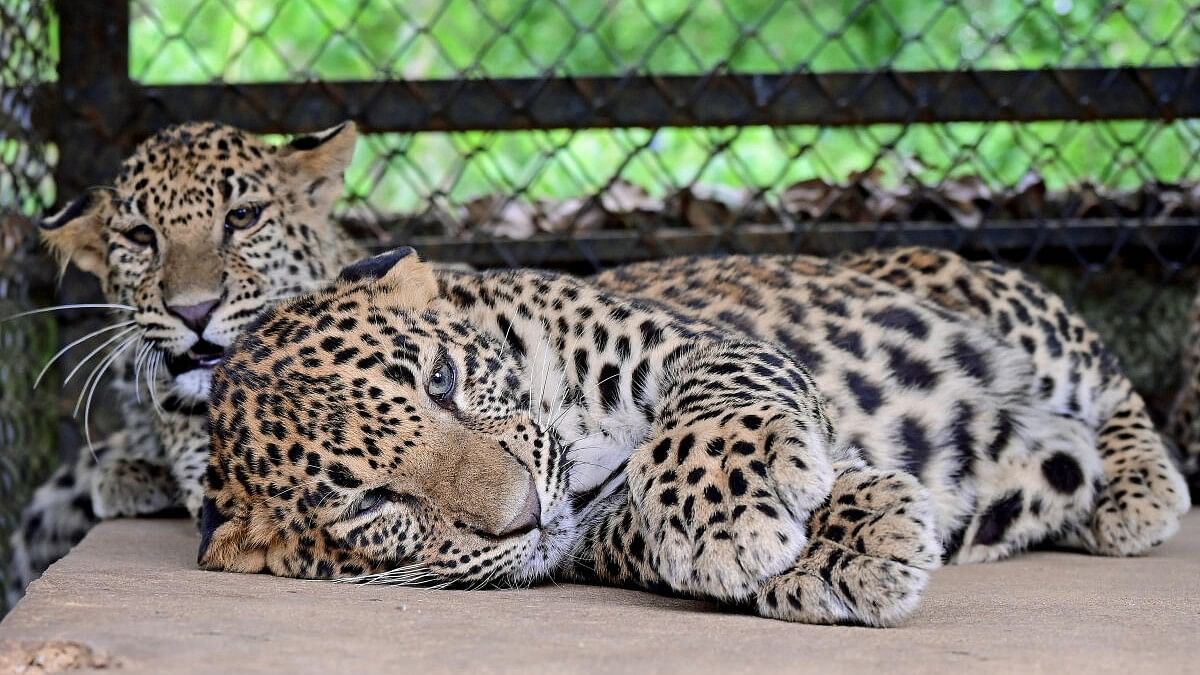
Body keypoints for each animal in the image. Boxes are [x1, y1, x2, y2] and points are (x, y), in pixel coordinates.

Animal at [199, 242, 1190, 624]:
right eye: (374, 503)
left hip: (1001, 305)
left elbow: (711, 414)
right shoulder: (593, 533)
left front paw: (733, 510)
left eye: (441, 381)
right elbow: (644, 522)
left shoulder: (685, 345)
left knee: (1109, 381)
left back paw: (1136, 490)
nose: (525, 515)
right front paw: (850, 542)